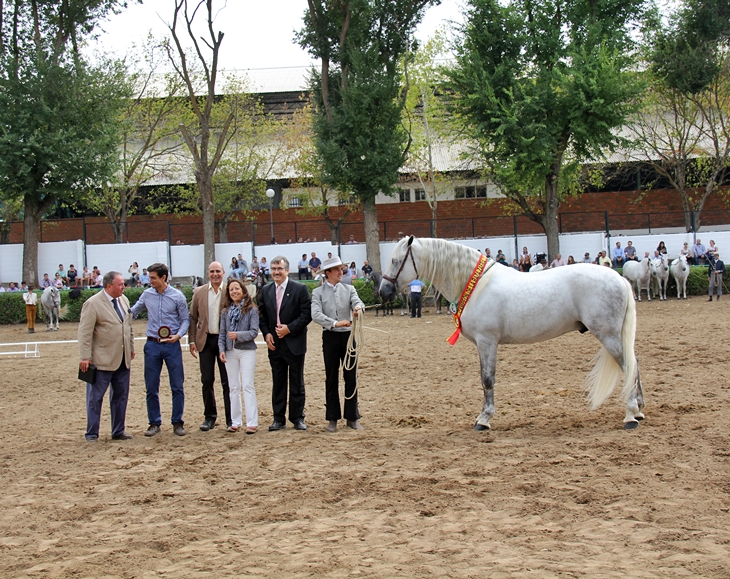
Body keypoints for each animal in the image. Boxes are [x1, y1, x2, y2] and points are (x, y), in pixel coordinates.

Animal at [382, 236, 644, 430]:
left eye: (395, 261)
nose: (384, 290)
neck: (476, 285)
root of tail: (619, 278)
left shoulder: (487, 341)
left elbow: (487, 379)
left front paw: (484, 419)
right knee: (634, 363)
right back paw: (639, 410)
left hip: (608, 335)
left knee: (628, 365)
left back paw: (630, 415)